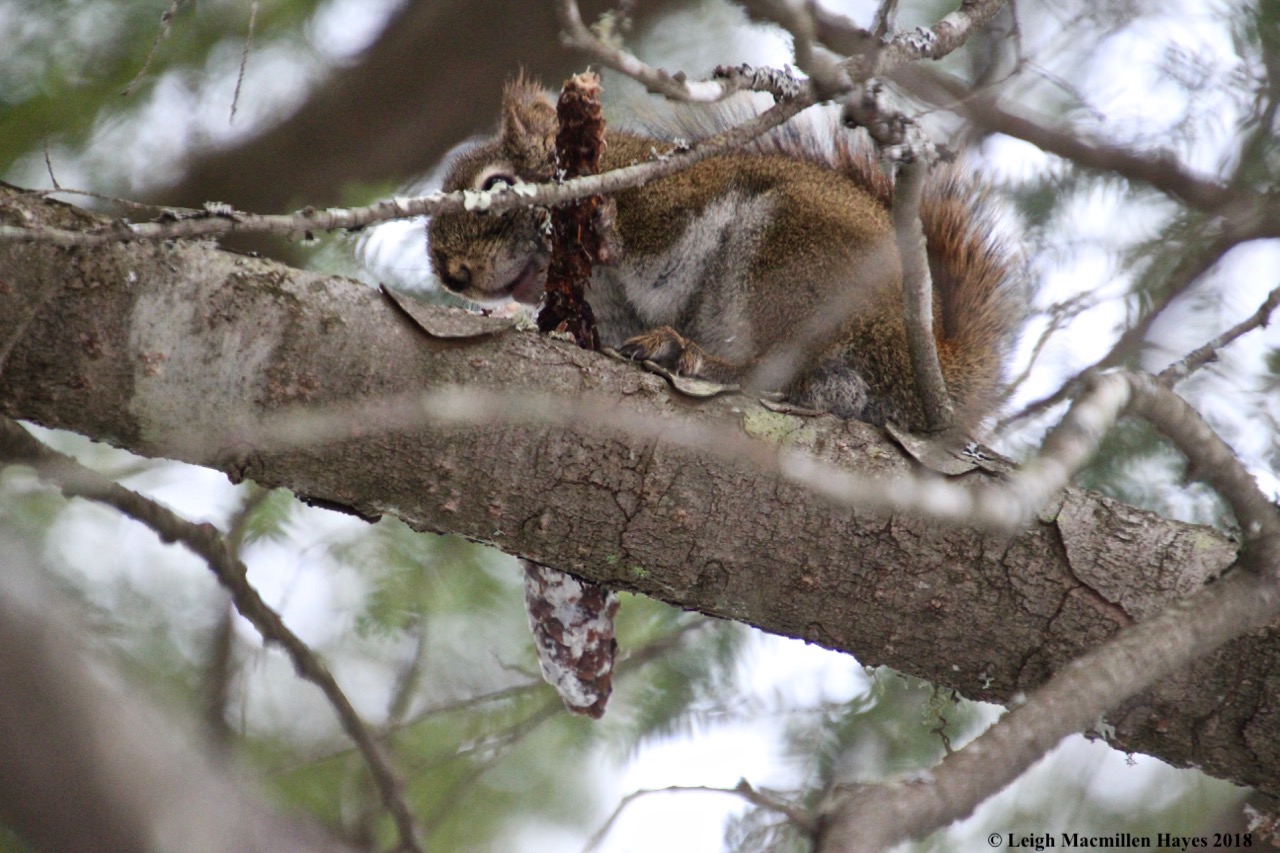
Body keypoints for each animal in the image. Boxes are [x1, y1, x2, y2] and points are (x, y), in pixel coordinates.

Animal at [428, 78, 1022, 434]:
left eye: (497, 185)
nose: (453, 277)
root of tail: (926, 355)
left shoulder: (664, 201)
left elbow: (656, 254)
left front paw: (602, 227)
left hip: (788, 264)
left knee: (777, 372)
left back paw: (688, 355)